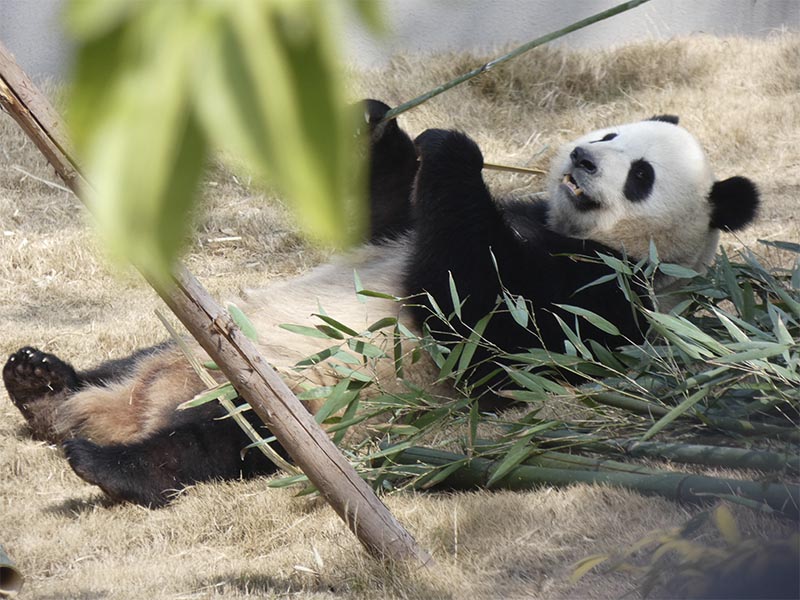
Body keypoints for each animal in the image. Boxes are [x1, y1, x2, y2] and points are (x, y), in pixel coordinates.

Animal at [3, 102, 760, 506]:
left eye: (641, 176)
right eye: (610, 135)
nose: (581, 157)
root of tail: (138, 407)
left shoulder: (600, 301)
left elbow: (472, 316)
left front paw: (453, 147)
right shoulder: (433, 228)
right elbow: (389, 221)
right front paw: (381, 127)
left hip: (301, 404)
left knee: (223, 441)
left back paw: (109, 462)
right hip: (188, 341)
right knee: (127, 361)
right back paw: (41, 383)